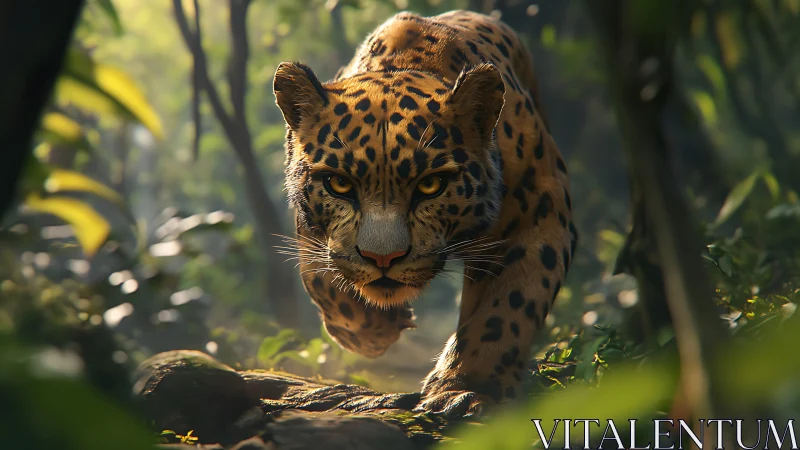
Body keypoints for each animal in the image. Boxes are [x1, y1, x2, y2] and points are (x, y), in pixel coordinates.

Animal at [272, 10, 576, 417]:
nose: (383, 259)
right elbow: (321, 277)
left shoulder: (540, 208)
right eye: (339, 184)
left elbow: (509, 306)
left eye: (431, 185)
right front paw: (372, 332)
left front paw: (467, 388)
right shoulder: (312, 229)